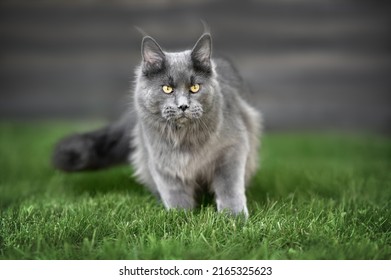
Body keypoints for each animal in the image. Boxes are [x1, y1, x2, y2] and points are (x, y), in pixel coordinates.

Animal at [51, 32, 260, 217]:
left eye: (194, 87)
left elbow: (229, 186)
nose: (183, 106)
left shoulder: (233, 148)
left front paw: (234, 217)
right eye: (167, 89)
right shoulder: (161, 161)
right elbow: (174, 193)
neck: (185, 139)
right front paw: (181, 218)